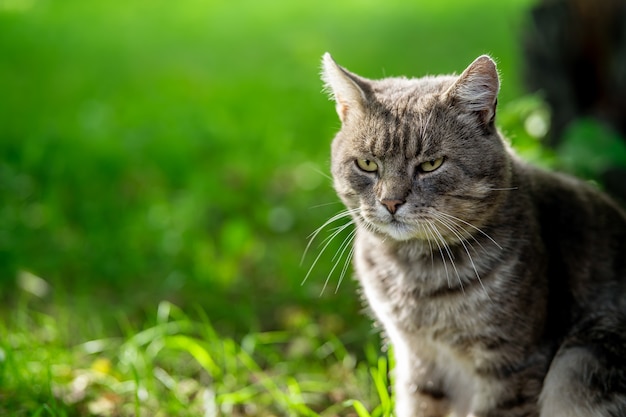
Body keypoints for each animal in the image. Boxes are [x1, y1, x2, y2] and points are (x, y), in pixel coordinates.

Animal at [320, 53, 624, 414]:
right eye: (367, 164)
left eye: (431, 164)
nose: (390, 202)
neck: (416, 273)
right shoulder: (415, 358)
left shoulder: (510, 364)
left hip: (577, 363)